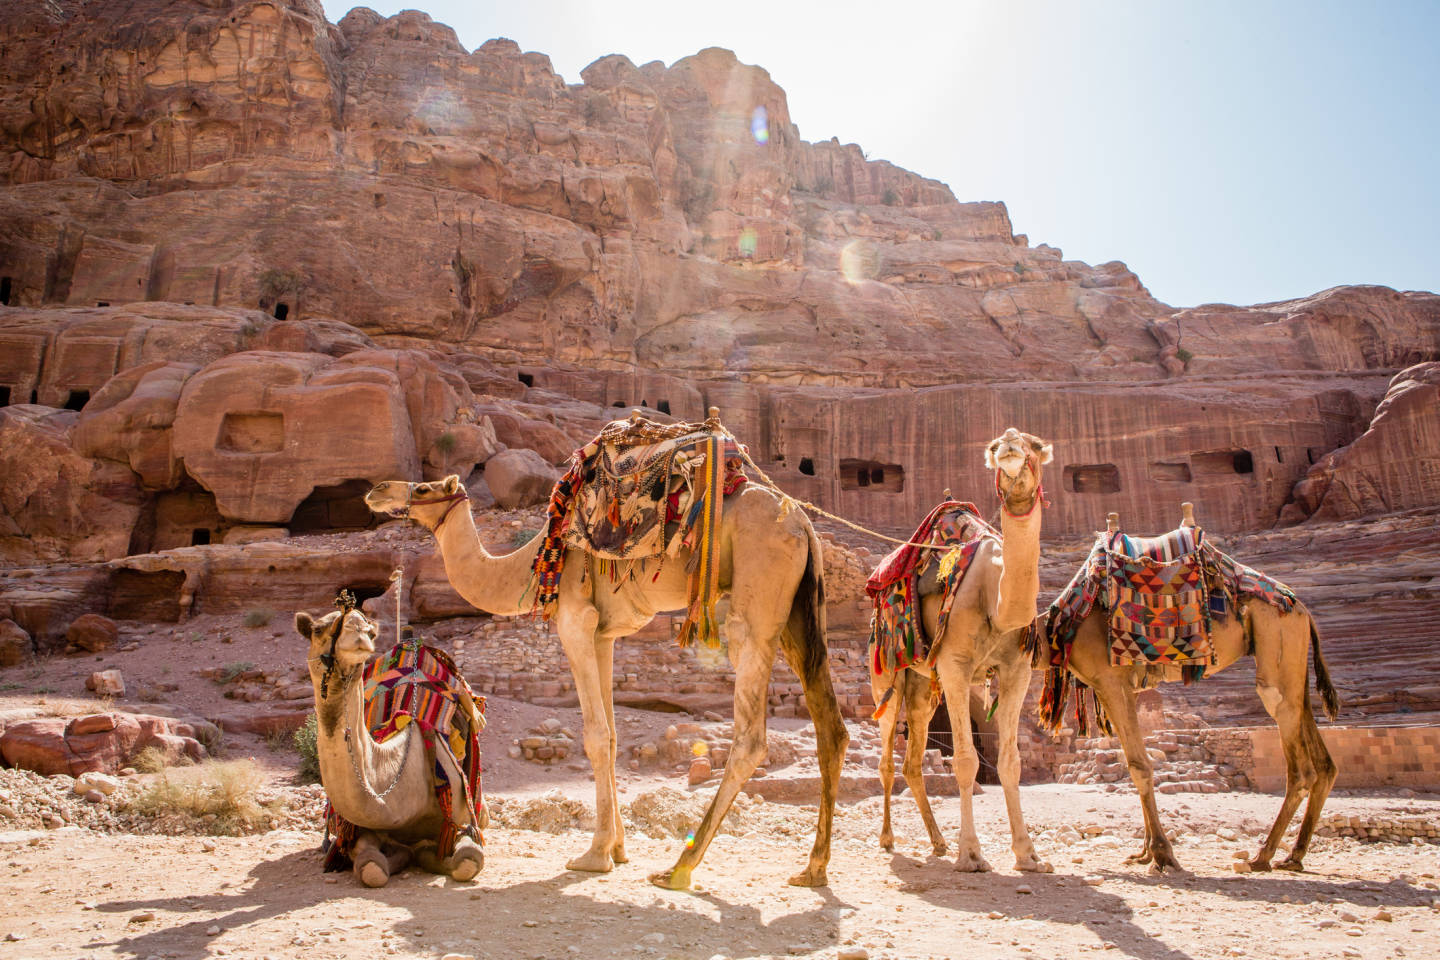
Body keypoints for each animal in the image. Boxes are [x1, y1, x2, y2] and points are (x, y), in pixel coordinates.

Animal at [295, 604, 486, 892]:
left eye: (371, 631)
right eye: (317, 629)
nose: (358, 630)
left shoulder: (462, 818)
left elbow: (469, 859)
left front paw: (430, 855)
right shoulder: (360, 828)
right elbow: (371, 867)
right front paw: (399, 855)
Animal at [365, 446, 846, 892]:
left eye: (423, 489)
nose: (377, 490)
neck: (530, 562)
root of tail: (802, 524)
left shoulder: (575, 620)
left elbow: (595, 737)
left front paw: (594, 855)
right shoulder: (603, 635)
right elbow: (613, 737)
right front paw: (618, 849)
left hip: (757, 600)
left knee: (750, 736)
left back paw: (678, 869)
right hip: (798, 613)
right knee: (831, 727)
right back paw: (814, 869)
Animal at [864, 431, 1059, 875]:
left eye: (1034, 445)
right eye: (995, 447)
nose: (1009, 443)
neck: (995, 596)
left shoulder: (1017, 670)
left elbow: (1010, 762)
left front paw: (1028, 854)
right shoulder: (954, 666)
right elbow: (967, 760)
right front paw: (970, 853)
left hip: (922, 684)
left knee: (912, 762)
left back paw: (937, 841)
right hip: (885, 670)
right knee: (886, 759)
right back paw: (887, 839)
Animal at [1054, 506, 1342, 875]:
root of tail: (1302, 609)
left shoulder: (1110, 682)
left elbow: (1139, 766)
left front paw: (1163, 854)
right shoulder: (1121, 689)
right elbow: (1137, 764)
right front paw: (1144, 853)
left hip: (1278, 641)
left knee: (1299, 763)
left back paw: (1263, 855)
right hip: (1295, 669)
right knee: (1323, 761)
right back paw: (1294, 855)